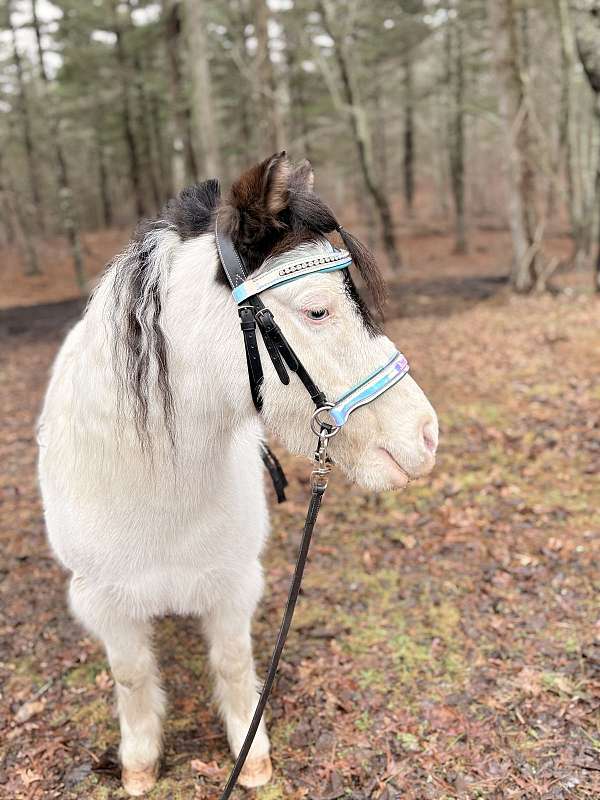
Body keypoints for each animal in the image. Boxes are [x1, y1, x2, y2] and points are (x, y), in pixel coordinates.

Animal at [38, 153, 438, 796]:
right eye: (318, 310)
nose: (426, 436)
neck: (156, 494)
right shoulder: (105, 601)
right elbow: (130, 676)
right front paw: (139, 763)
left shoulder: (230, 584)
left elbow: (231, 663)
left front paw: (251, 757)